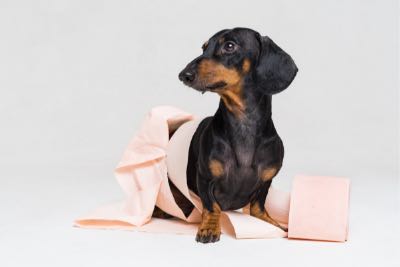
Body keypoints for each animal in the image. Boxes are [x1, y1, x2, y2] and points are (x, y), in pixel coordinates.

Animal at [155, 27, 296, 245]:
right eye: (204, 47)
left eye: (229, 46)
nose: (183, 75)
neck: (243, 124)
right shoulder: (205, 178)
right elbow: (212, 206)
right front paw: (209, 228)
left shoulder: (266, 181)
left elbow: (258, 208)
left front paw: (272, 224)